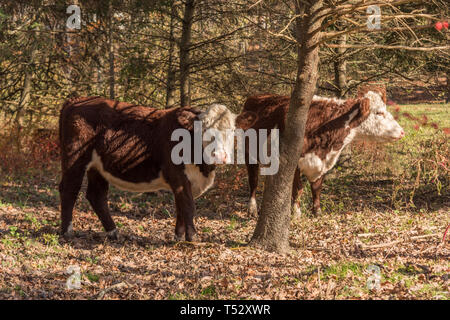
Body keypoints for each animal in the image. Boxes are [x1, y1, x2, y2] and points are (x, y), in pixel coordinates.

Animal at [239, 87, 404, 218]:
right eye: (379, 113)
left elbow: (316, 188)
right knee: (253, 181)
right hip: (249, 155)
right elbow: (297, 189)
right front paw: (296, 213)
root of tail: (257, 96)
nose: (402, 132)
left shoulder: (324, 163)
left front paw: (317, 212)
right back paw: (252, 209)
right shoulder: (294, 162)